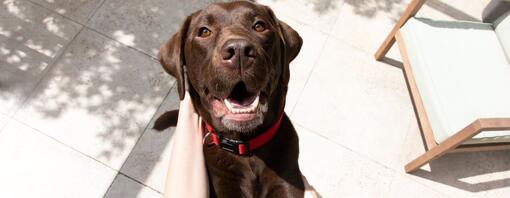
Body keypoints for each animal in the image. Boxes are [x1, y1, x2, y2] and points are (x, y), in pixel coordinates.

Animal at [151, 1, 302, 196]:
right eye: (204, 31)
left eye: (259, 26)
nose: (239, 50)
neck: (245, 148)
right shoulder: (224, 182)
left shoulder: (287, 180)